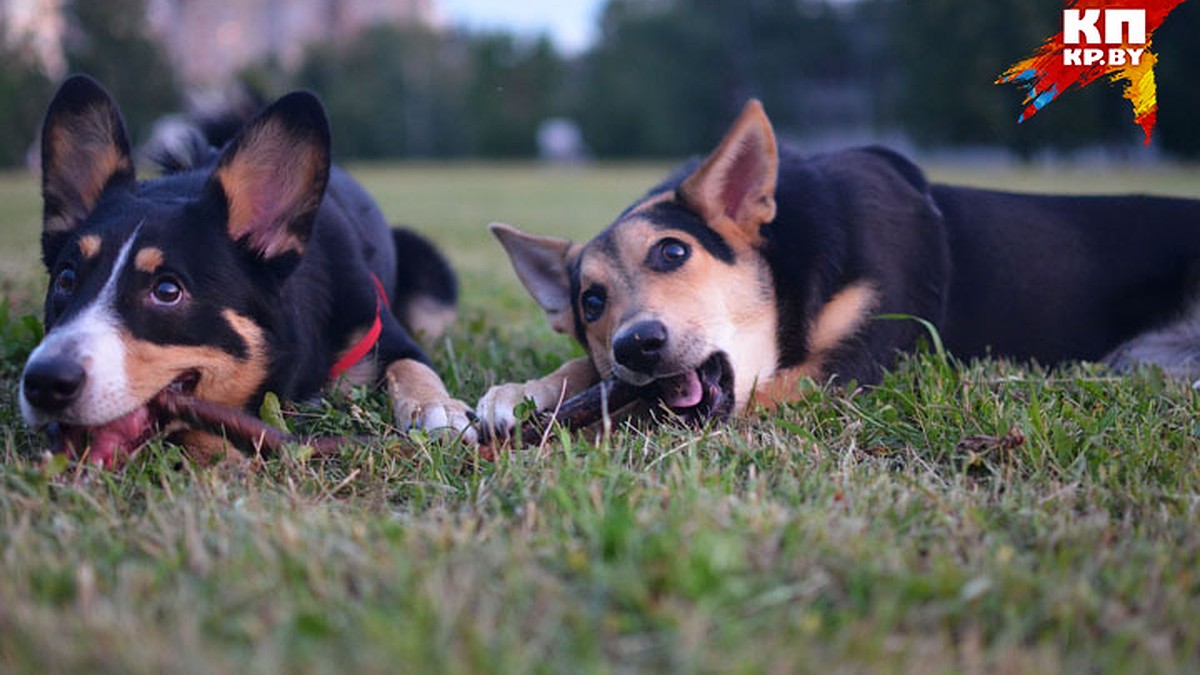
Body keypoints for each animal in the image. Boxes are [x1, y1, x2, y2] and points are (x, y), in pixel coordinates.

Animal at [19, 73, 472, 461]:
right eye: (66, 278)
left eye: (167, 290)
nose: (44, 383)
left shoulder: (385, 334)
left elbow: (412, 367)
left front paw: (440, 409)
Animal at [475, 99, 1200, 437]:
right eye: (590, 303)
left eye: (672, 251)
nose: (637, 344)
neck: (791, 272)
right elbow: (587, 376)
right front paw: (519, 391)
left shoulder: (848, 367)